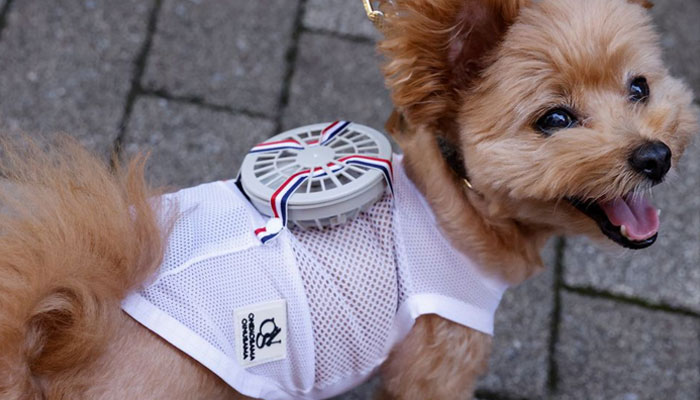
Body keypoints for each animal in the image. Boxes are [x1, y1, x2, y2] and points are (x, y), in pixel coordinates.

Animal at [0, 0, 696, 398]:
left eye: (639, 86)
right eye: (554, 119)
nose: (655, 157)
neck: (453, 206)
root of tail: (50, 347)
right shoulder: (433, 367)